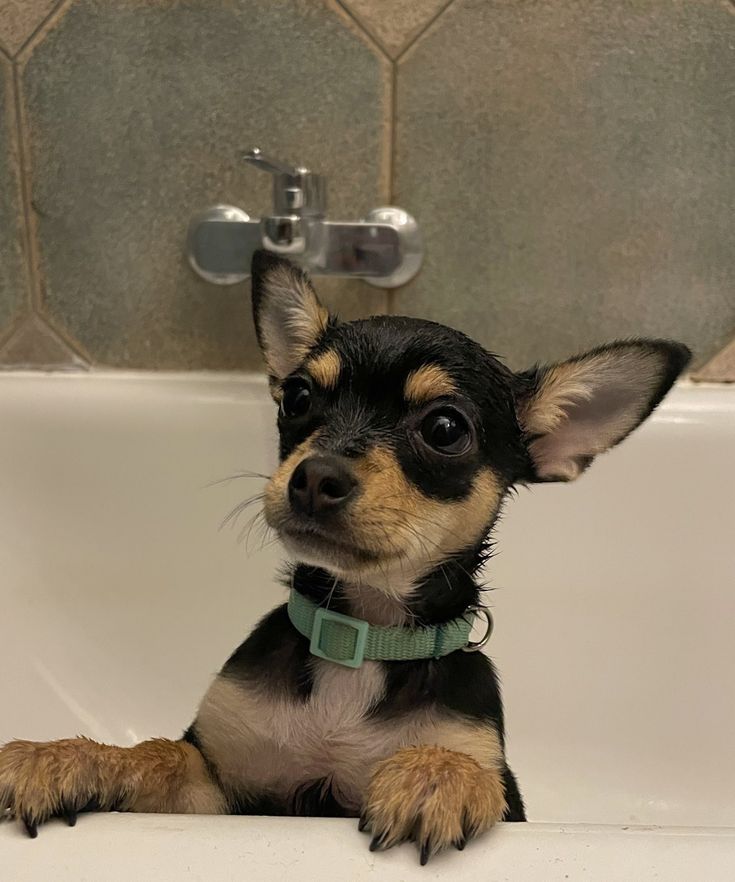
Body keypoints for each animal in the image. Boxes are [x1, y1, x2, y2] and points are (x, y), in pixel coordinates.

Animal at [0, 251, 688, 864]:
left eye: (445, 429)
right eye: (298, 397)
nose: (314, 477)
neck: (361, 636)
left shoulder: (503, 786)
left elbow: (469, 762)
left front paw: (437, 777)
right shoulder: (222, 787)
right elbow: (163, 754)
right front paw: (70, 757)